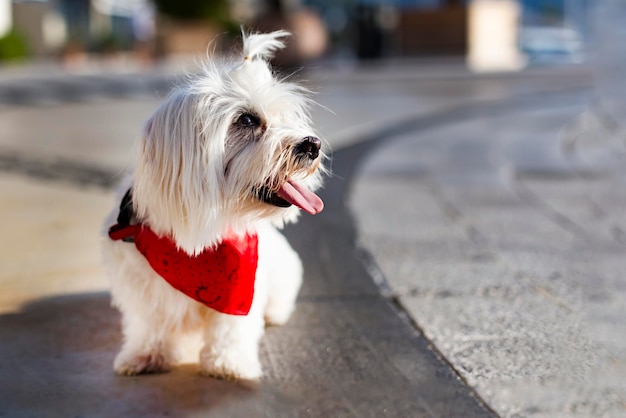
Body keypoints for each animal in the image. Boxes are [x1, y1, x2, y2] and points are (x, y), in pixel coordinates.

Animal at [100, 31, 324, 380]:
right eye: (247, 119)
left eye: (286, 117)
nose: (313, 144)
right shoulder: (139, 285)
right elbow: (149, 322)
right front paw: (148, 354)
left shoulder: (241, 288)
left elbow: (231, 328)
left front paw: (227, 362)